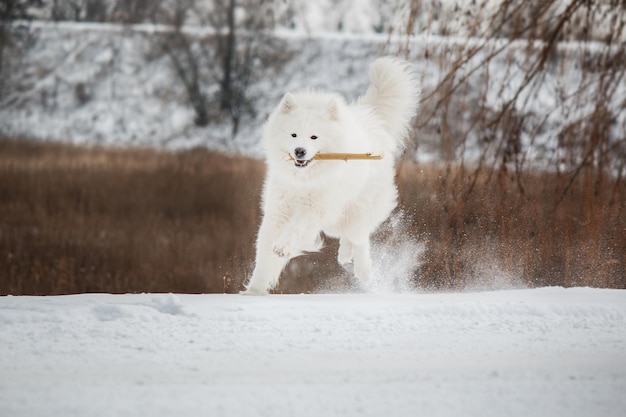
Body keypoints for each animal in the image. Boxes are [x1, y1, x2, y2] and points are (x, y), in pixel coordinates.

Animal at [244, 57, 420, 294]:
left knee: (360, 235)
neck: (303, 180)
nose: (299, 151)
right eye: (293, 134)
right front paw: (255, 290)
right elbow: (264, 256)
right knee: (348, 235)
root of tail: (369, 117)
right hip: (335, 218)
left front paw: (283, 247)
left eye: (314, 137)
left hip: (354, 206)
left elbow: (294, 230)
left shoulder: (313, 210)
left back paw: (363, 270)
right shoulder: (278, 211)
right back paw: (345, 254)